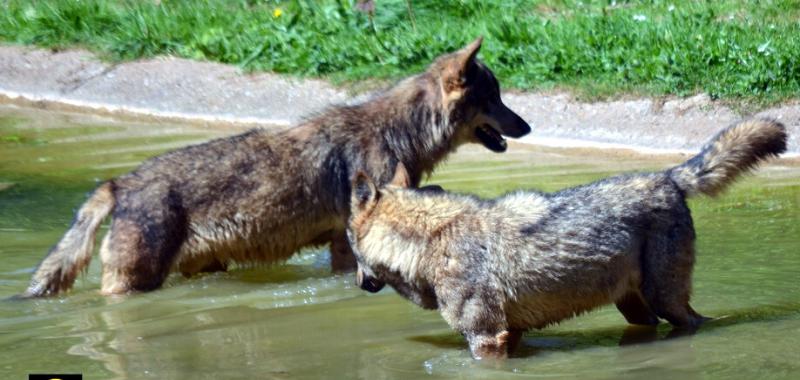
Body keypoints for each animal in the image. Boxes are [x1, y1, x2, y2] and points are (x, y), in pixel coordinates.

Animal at [21, 37, 532, 296]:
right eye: (495, 97)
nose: (527, 125)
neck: (399, 132)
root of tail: (118, 183)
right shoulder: (352, 240)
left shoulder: (341, 245)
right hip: (134, 282)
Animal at [346, 119, 784, 360]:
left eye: (349, 243)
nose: (357, 281)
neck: (433, 240)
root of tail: (668, 177)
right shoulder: (511, 333)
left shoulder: (486, 338)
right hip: (635, 307)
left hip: (666, 299)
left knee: (694, 323)